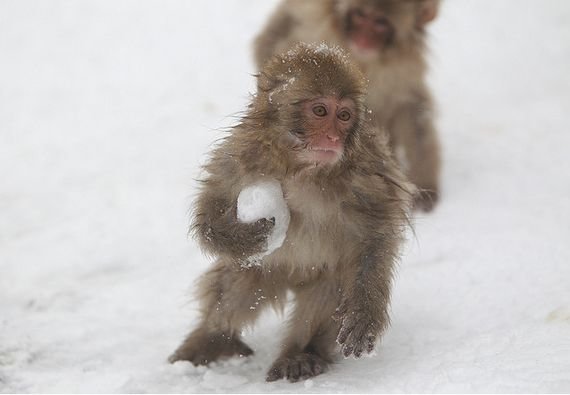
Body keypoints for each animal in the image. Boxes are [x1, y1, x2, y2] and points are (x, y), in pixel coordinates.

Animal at [169, 43, 412, 384]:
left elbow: (376, 235)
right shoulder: (239, 155)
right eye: (320, 111)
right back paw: (211, 339)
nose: (334, 138)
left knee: (329, 285)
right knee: (239, 283)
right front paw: (244, 236)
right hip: (267, 272)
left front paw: (365, 314)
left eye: (345, 116)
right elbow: (210, 209)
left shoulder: (367, 173)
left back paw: (300, 354)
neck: (302, 168)